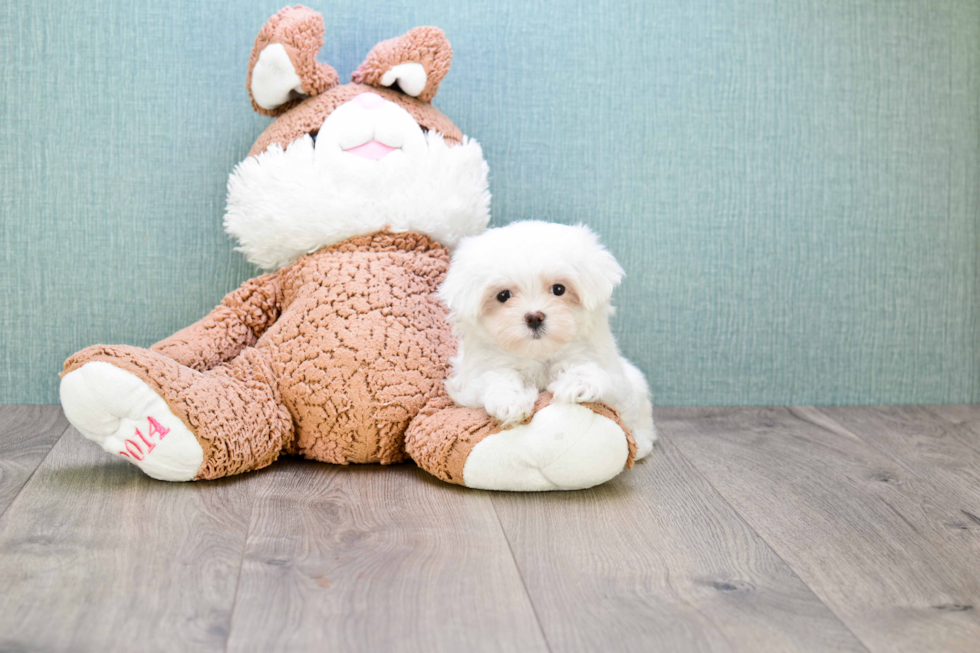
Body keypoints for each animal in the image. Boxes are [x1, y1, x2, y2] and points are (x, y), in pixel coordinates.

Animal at [438, 222, 660, 460]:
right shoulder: (471, 382)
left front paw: (578, 383)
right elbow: (496, 376)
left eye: (559, 289)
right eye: (503, 295)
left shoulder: (613, 378)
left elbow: (592, 371)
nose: (534, 317)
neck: (540, 353)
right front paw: (510, 401)